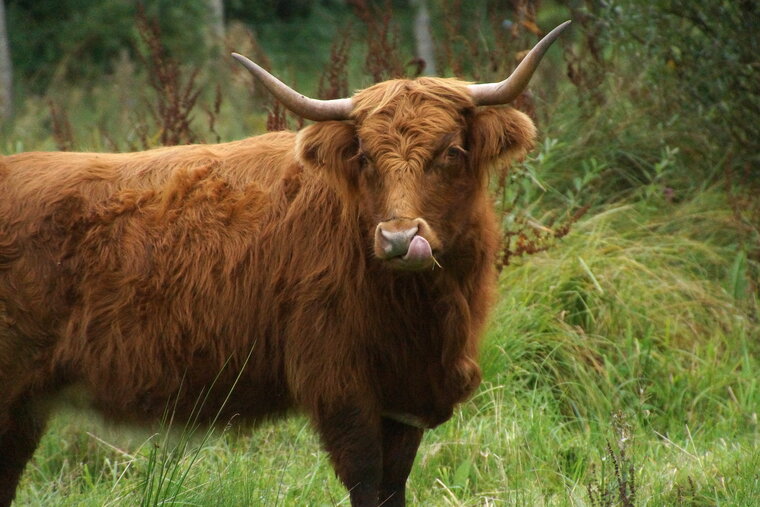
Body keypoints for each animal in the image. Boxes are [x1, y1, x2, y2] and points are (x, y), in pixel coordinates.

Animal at [0, 20, 568, 507]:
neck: (423, 314)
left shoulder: (402, 396)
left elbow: (394, 485)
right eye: (365, 156)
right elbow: (366, 481)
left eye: (450, 151)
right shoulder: (339, 384)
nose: (399, 238)